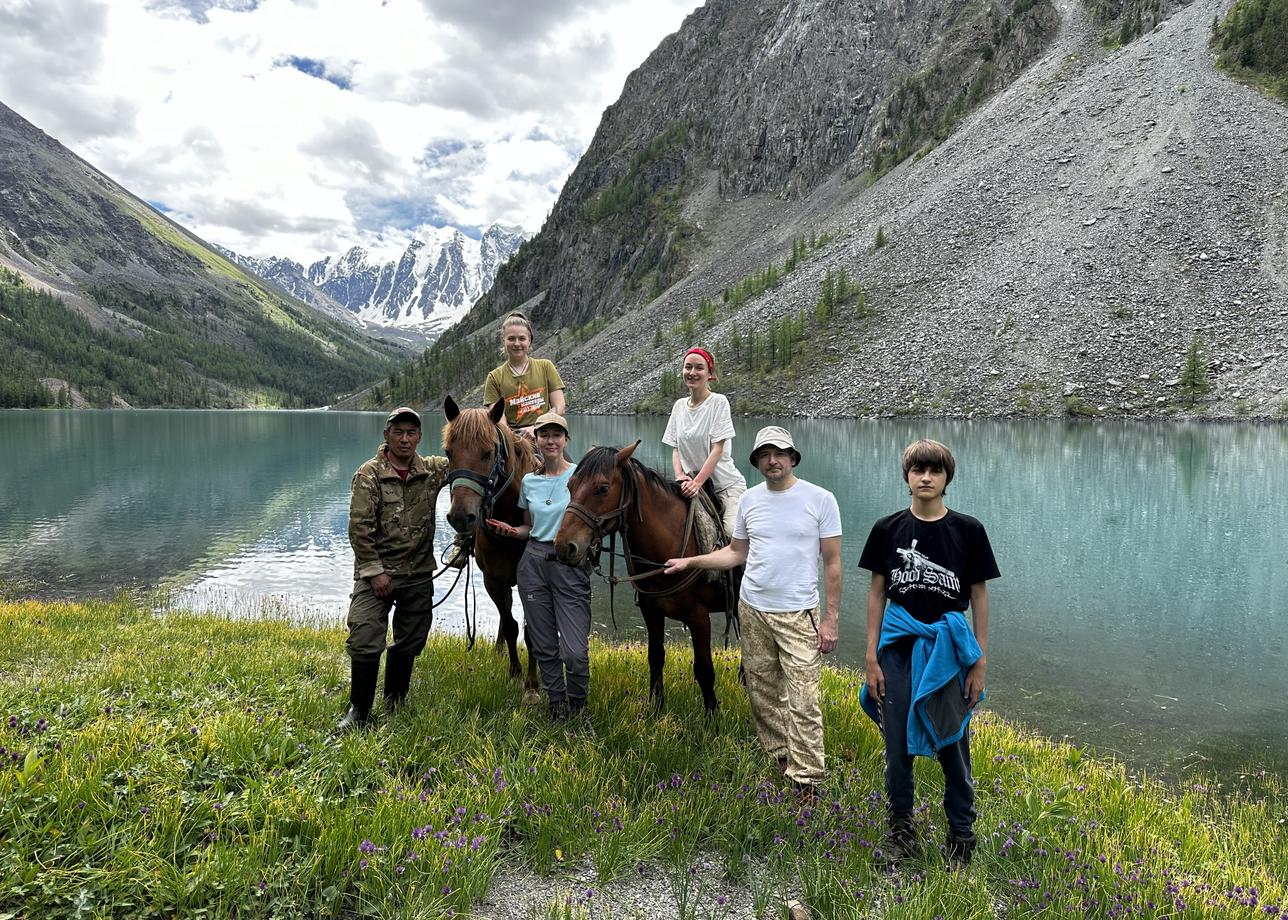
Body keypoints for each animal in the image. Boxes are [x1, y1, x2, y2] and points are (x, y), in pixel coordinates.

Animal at [445, 394, 540, 690]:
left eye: (488, 453)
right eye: (448, 452)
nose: (461, 517)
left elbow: (532, 632)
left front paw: (532, 683)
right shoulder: (493, 580)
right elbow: (510, 625)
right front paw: (514, 672)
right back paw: (499, 651)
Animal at [551, 440, 736, 711]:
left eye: (603, 488)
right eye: (570, 485)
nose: (565, 546)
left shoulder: (699, 617)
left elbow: (704, 670)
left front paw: (712, 716)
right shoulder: (651, 611)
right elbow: (655, 658)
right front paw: (655, 709)